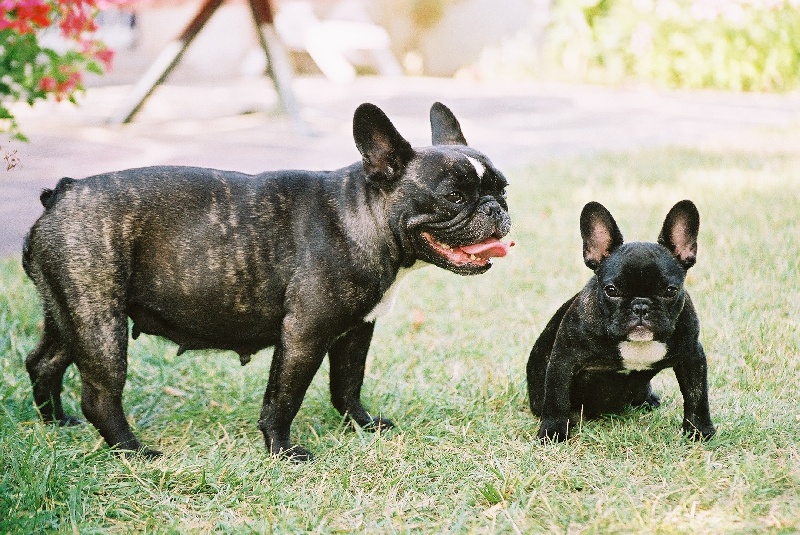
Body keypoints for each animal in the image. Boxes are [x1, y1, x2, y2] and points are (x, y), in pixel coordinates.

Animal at [25, 102, 516, 462]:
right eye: (453, 196)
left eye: (503, 188)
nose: (496, 208)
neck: (362, 215)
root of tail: (62, 192)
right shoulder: (304, 334)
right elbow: (284, 397)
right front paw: (283, 452)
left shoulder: (356, 330)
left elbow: (347, 384)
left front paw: (363, 425)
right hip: (100, 323)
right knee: (100, 394)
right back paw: (133, 452)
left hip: (69, 315)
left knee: (44, 362)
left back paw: (57, 423)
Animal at [528, 201, 716, 444]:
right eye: (611, 290)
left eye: (670, 291)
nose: (641, 306)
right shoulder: (563, 359)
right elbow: (557, 399)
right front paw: (553, 433)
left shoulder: (692, 356)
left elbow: (697, 396)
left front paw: (699, 431)